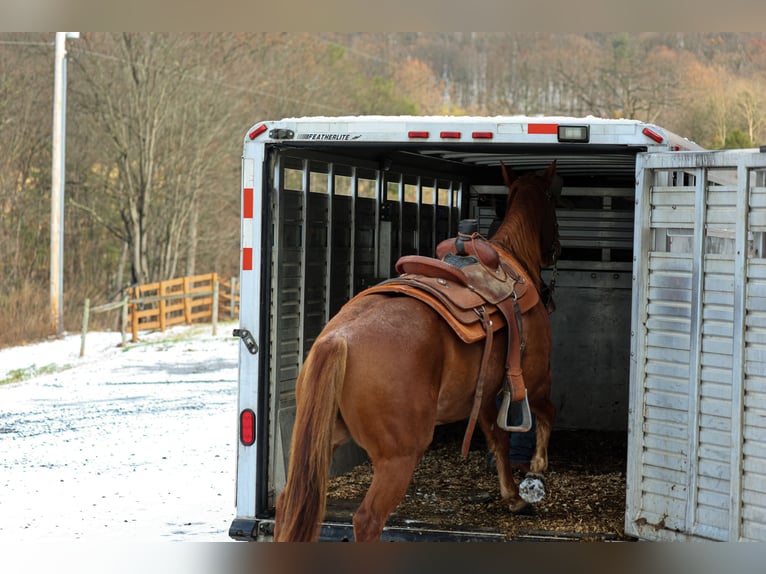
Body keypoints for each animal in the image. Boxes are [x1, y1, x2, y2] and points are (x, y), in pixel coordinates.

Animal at [273, 161, 562, 542]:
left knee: (287, 504)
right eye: (553, 201)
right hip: (398, 458)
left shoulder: (484, 397)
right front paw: (537, 472)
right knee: (368, 519)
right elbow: (546, 416)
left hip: (323, 444)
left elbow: (498, 439)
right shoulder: (536, 378)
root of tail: (338, 340)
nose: (557, 248)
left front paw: (513, 496)